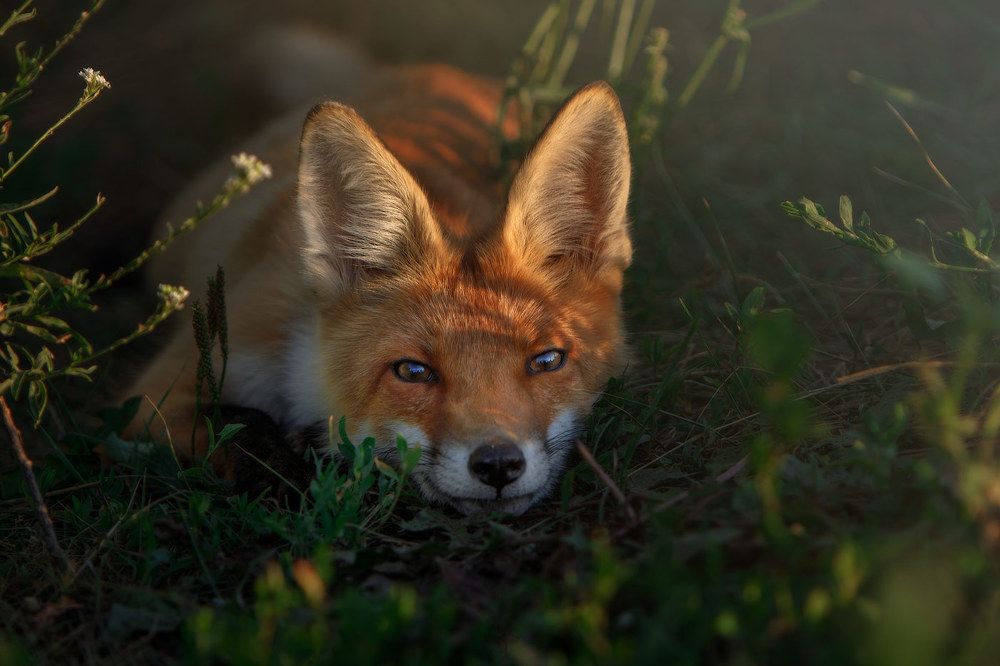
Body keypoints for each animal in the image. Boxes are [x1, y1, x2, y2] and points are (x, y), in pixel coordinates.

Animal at [122, 57, 633, 516]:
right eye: (413, 371)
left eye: (547, 361)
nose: (498, 464)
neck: (310, 374)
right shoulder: (162, 391)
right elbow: (244, 423)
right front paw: (289, 479)